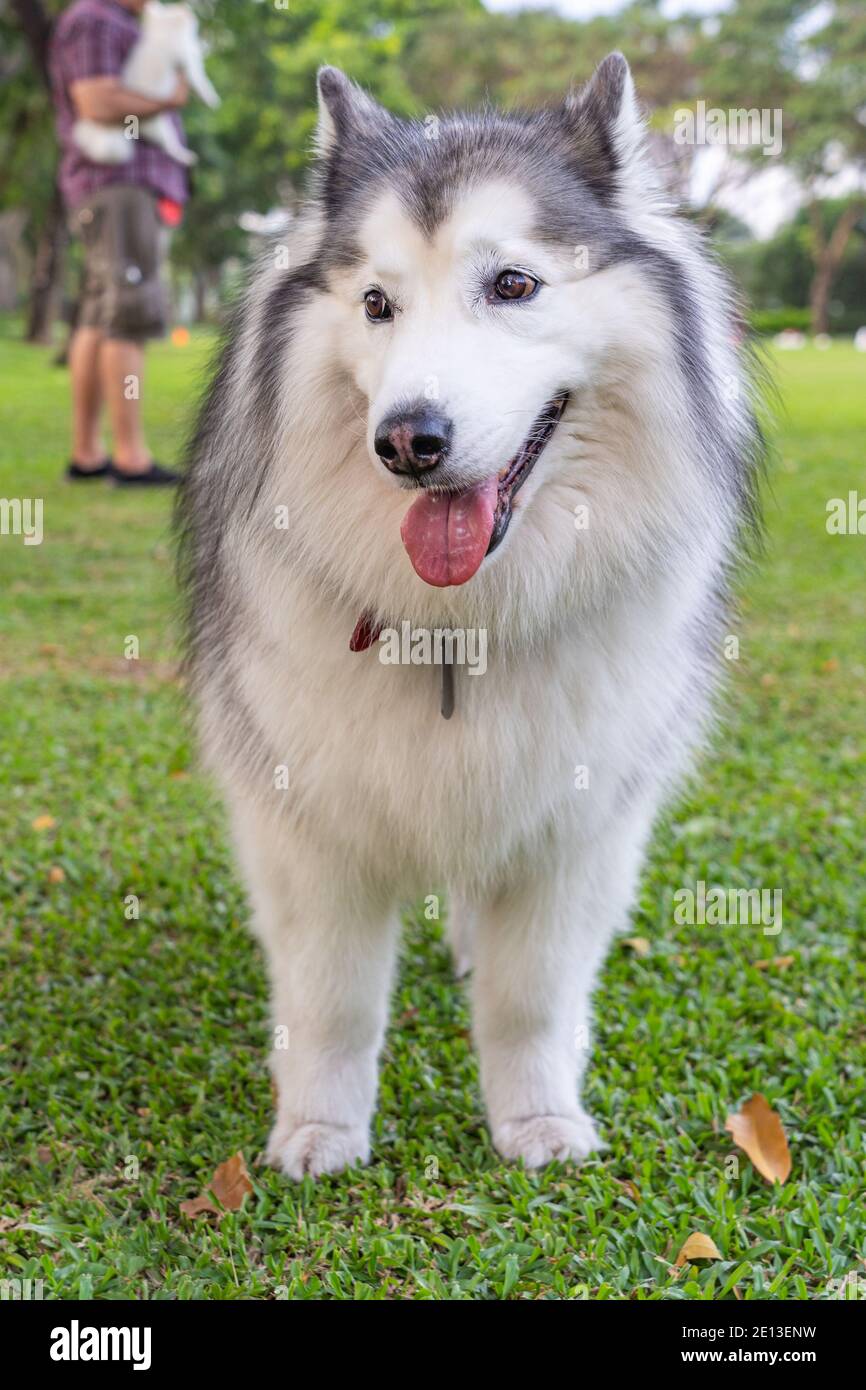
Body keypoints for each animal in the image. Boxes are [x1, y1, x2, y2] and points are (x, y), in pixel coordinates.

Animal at [73, 1, 219, 168]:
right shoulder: (190, 64)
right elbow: (202, 83)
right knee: (169, 147)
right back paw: (185, 156)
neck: (162, 34)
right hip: (161, 128)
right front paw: (211, 100)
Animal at [176, 59, 756, 1178]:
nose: (409, 441)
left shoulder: (578, 825)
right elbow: (332, 1001)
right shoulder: (306, 821)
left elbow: (531, 995)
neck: (459, 621)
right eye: (375, 302)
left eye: (514, 286)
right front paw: (319, 1131)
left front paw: (535, 1120)